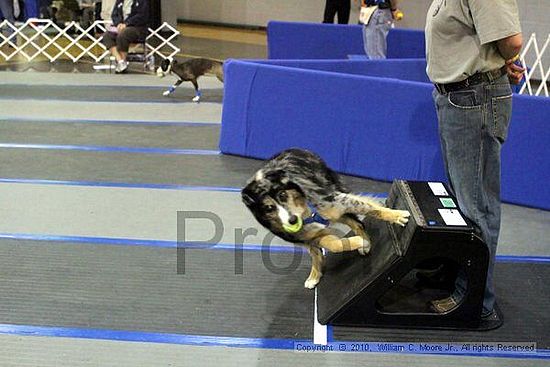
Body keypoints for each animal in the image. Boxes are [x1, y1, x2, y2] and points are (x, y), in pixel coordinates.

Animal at [242, 149, 410, 290]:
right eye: (268, 208)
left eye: (282, 195)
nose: (292, 220)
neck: (305, 214)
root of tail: (296, 149)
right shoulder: (309, 236)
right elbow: (333, 245)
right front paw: (357, 242)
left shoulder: (336, 201)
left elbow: (373, 209)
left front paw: (396, 216)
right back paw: (315, 275)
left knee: (357, 222)